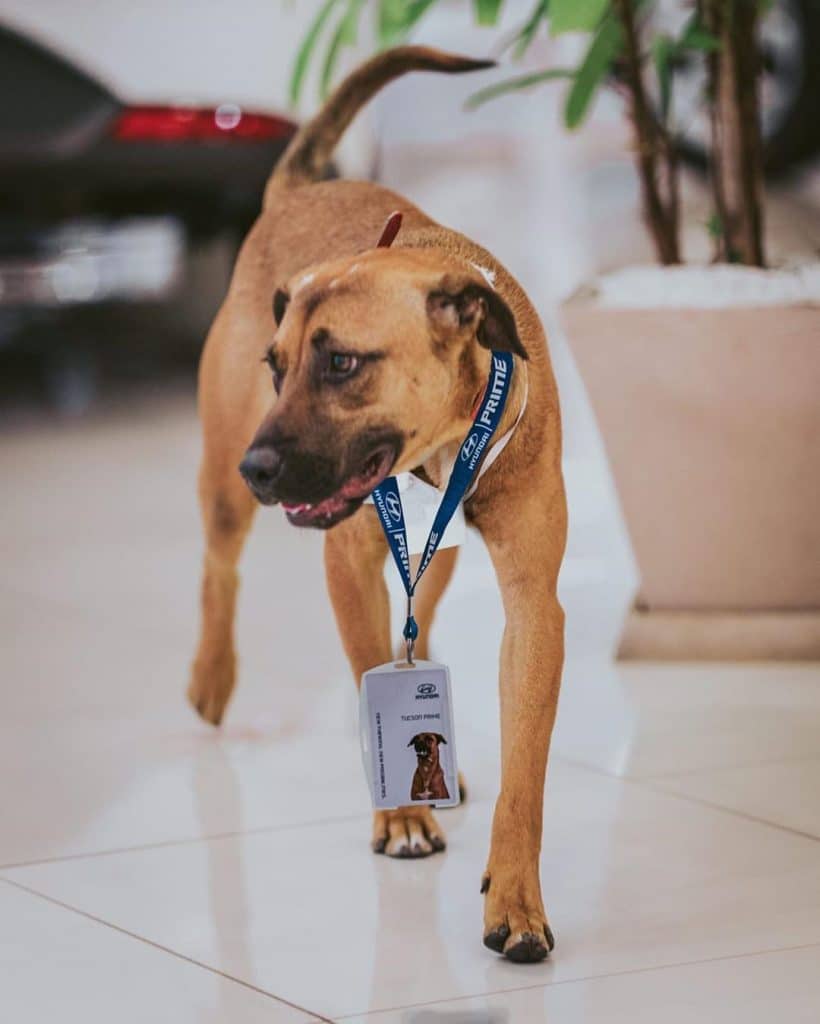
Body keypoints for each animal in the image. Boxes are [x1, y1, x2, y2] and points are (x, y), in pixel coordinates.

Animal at [188, 46, 565, 958]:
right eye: (278, 366)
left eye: (342, 364)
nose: (260, 467)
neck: (444, 449)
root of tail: (298, 188)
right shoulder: (348, 564)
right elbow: (367, 669)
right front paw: (398, 818)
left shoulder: (535, 606)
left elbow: (526, 770)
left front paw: (516, 897)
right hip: (220, 486)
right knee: (219, 567)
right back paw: (212, 677)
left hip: (435, 559)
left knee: (417, 622)